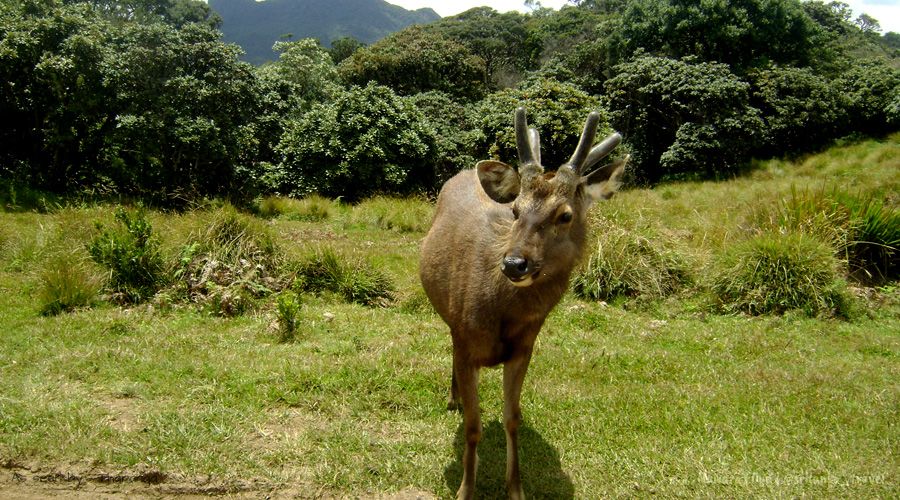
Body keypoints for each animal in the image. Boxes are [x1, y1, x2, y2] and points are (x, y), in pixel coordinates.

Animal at [420, 106, 624, 500]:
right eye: (515, 210)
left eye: (565, 215)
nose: (514, 264)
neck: (499, 313)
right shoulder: (465, 338)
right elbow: (473, 425)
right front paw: (465, 489)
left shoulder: (525, 347)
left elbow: (512, 418)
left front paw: (515, 487)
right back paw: (453, 397)